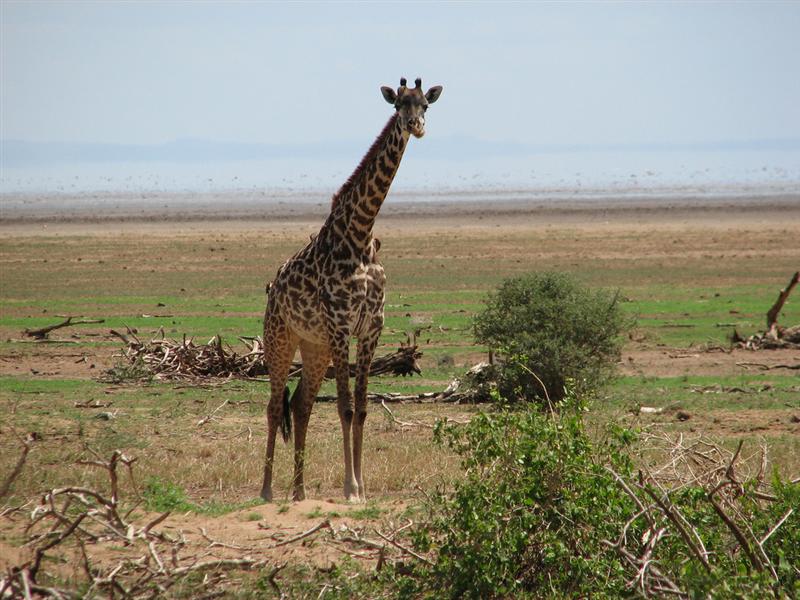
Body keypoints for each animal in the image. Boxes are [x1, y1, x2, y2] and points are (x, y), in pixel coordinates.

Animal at [261, 78, 443, 502]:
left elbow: (361, 407)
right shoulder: (342, 327)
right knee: (275, 406)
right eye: (399, 106)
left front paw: (363, 487)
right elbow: (344, 406)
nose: (416, 126)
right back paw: (267, 491)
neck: (359, 236)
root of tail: (273, 288)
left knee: (301, 405)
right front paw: (350, 488)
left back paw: (299, 493)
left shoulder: (370, 329)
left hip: (315, 347)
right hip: (281, 337)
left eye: (426, 105)